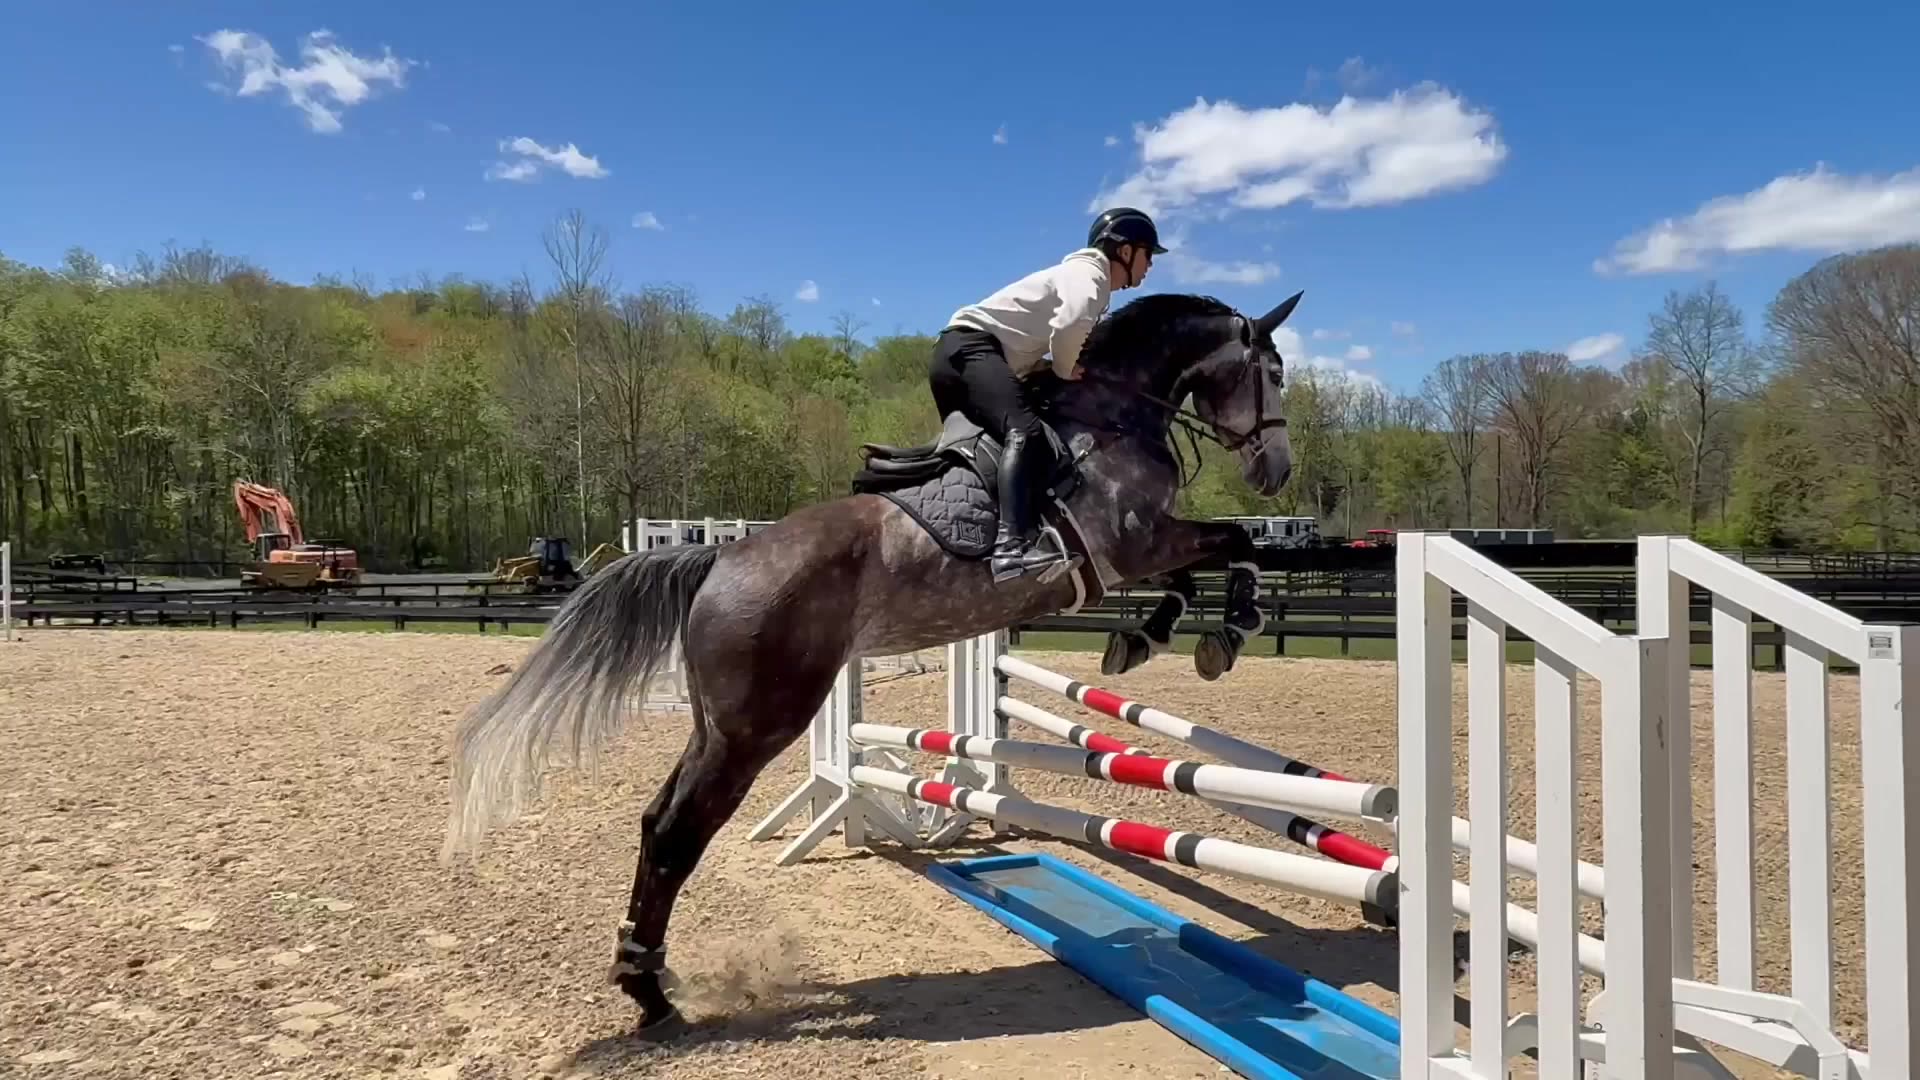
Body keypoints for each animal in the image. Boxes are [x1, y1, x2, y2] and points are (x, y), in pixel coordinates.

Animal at [441, 289, 1303, 1037]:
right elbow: (1235, 541)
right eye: (1273, 371)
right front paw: (1228, 629)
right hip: (757, 728)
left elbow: (1201, 565)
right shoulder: (1135, 544)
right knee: (681, 832)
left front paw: (1148, 638)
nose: (1277, 472)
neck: (1113, 413)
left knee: (657, 822)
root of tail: (719, 560)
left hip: (716, 726)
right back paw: (650, 992)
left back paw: (642, 977)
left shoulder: (1142, 551)